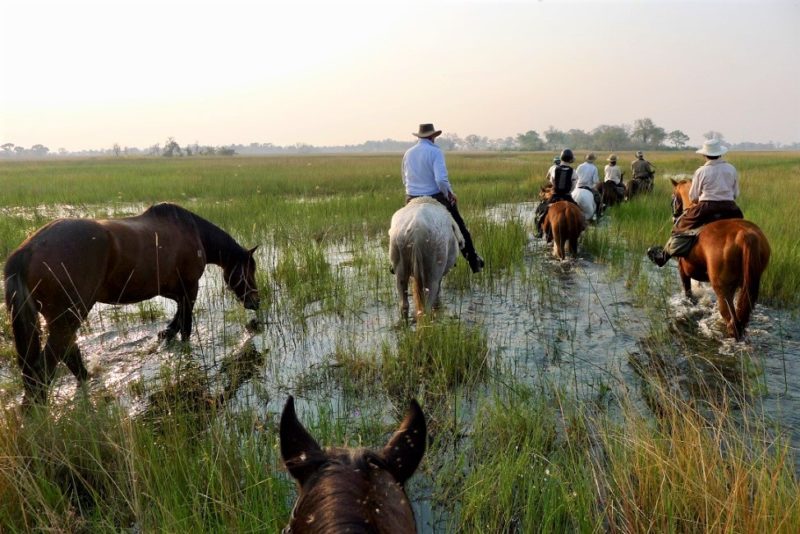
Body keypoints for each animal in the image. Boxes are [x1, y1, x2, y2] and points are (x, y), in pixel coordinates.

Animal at [3, 204, 260, 406]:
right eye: (250, 269)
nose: (256, 302)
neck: (192, 232)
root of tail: (27, 249)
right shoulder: (190, 289)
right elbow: (186, 326)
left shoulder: (175, 291)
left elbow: (177, 319)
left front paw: (164, 336)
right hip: (68, 316)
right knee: (45, 369)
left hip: (62, 319)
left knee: (67, 355)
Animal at [672, 180, 772, 340]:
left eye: (673, 197)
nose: (675, 216)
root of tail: (745, 235)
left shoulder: (683, 270)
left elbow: (688, 292)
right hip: (744, 286)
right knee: (740, 318)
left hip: (722, 289)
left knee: (731, 321)